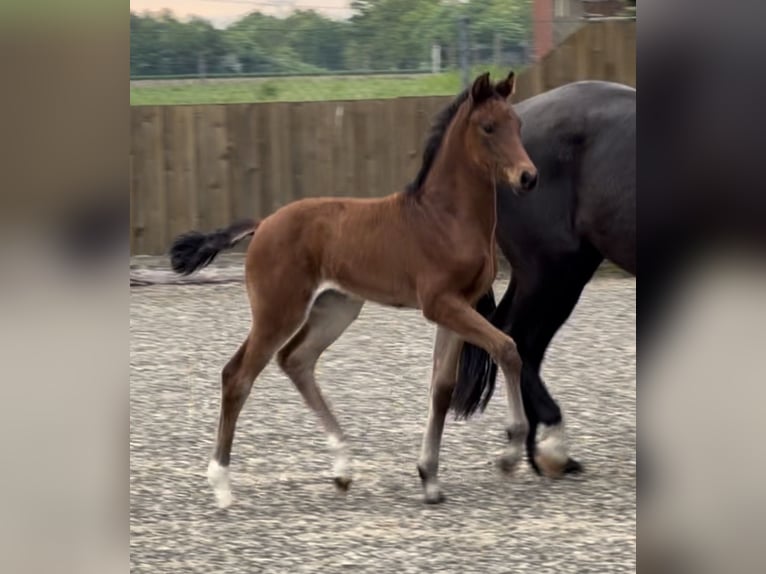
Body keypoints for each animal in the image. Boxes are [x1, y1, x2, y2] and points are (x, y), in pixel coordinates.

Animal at [169, 70, 539, 507]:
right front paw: (510, 452)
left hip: (337, 308)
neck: (444, 217)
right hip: (278, 312)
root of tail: (263, 224)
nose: (528, 177)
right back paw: (222, 485)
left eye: (518, 124)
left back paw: (343, 469)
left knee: (296, 360)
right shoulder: (441, 304)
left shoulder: (455, 307)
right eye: (488, 127)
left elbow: (442, 387)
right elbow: (507, 348)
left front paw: (429, 478)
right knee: (238, 375)